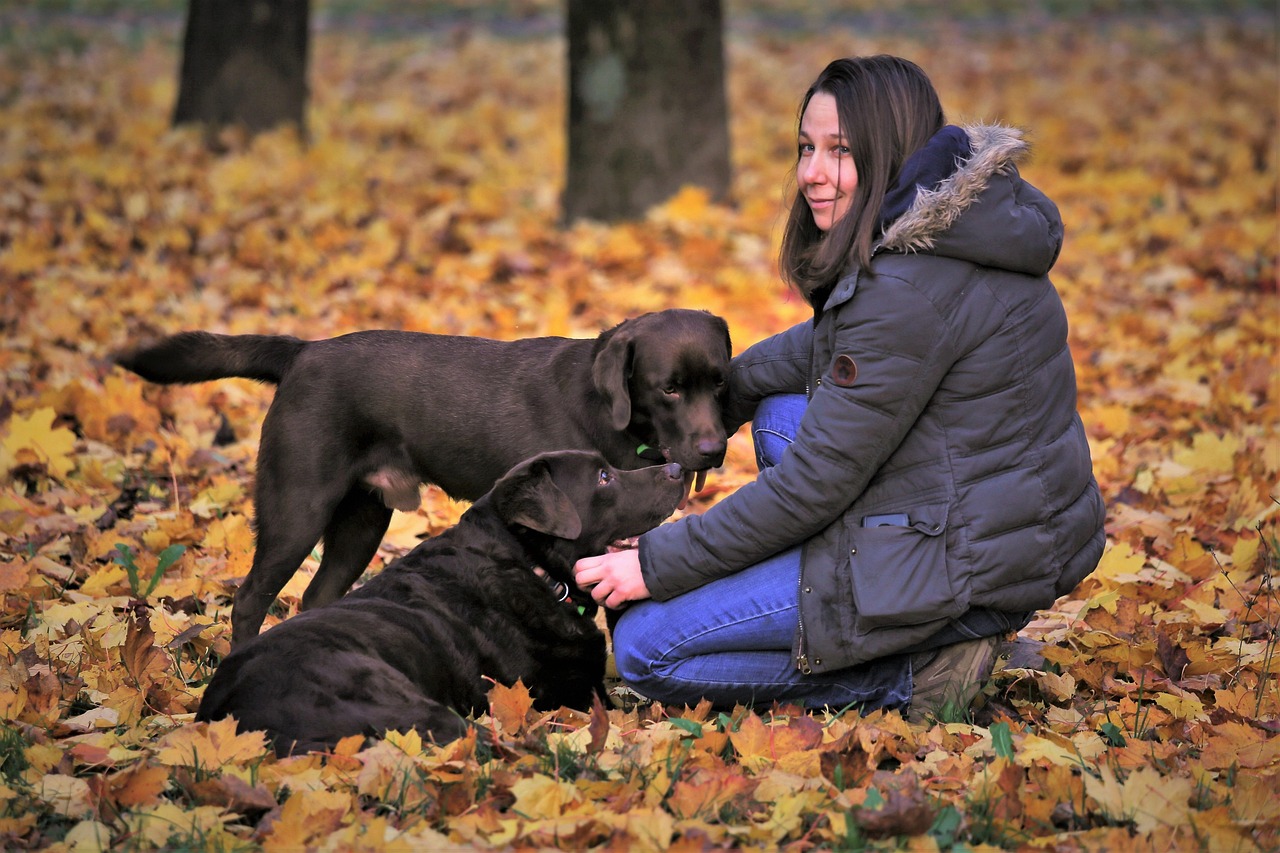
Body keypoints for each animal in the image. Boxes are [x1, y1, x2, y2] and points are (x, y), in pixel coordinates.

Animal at [112, 308, 732, 640]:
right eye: (669, 388)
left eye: (720, 380)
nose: (712, 450)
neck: (610, 416)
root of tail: (302, 352)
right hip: (298, 507)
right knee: (248, 601)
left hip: (362, 520)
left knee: (317, 595)